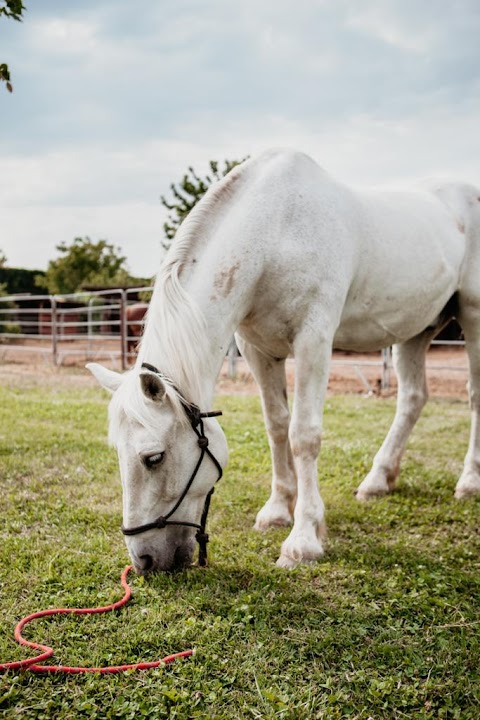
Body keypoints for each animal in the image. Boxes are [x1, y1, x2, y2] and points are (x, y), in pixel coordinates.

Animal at [87, 148, 480, 572]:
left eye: (153, 458)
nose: (144, 560)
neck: (275, 234)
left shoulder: (314, 341)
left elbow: (303, 435)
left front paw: (303, 539)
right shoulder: (258, 350)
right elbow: (277, 427)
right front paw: (277, 512)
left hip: (472, 318)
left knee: (472, 397)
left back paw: (468, 482)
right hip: (416, 330)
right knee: (412, 399)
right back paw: (378, 480)